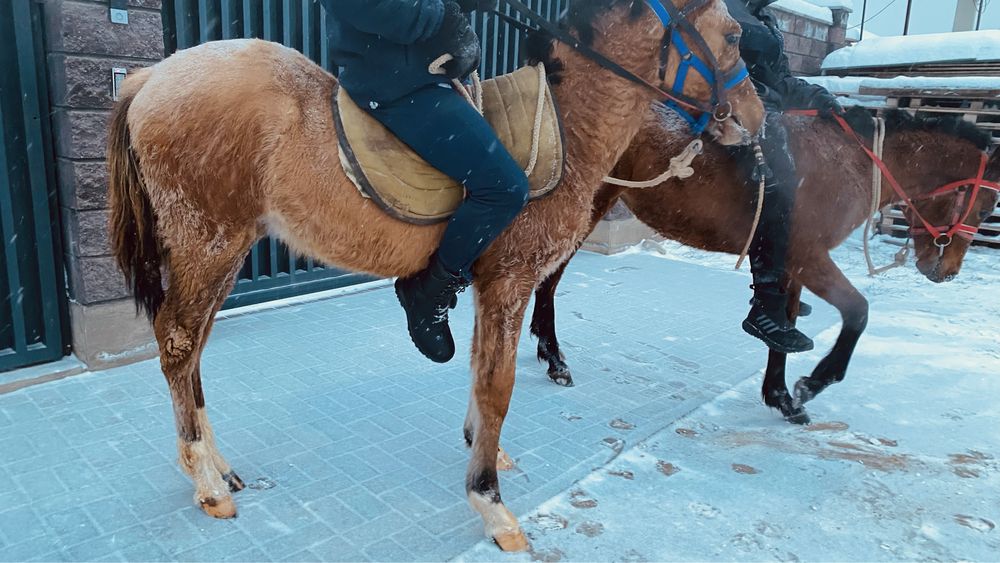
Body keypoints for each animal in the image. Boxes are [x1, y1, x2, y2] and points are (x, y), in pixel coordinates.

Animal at [106, 0, 763, 550]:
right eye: (734, 36)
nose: (754, 120)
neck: (567, 127)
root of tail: (151, 78)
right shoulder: (510, 283)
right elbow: (498, 386)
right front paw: (492, 504)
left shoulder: (491, 286)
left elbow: (479, 372)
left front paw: (484, 452)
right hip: (209, 242)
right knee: (178, 341)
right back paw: (207, 483)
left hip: (221, 251)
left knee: (193, 347)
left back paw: (217, 467)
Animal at [530, 106, 1000, 425]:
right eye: (986, 206)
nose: (948, 270)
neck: (848, 163)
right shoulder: (809, 256)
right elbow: (858, 311)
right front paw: (812, 383)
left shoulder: (790, 266)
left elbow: (783, 327)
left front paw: (781, 396)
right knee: (548, 277)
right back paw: (553, 357)